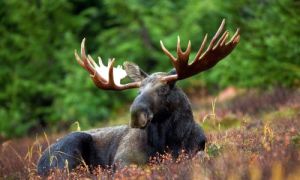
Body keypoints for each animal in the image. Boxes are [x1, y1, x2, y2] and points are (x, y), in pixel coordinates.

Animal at [37, 19, 240, 176]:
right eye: (138, 91)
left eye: (163, 89)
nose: (136, 114)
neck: (170, 142)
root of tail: (39, 164)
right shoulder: (123, 160)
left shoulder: (197, 149)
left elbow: (202, 156)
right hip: (69, 150)